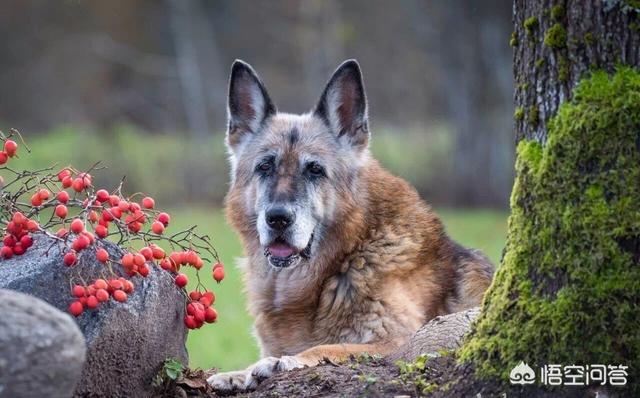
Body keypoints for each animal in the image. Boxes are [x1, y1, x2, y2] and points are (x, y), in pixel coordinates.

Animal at [208, 59, 492, 392]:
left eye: (315, 170)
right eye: (265, 166)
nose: (277, 218)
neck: (345, 257)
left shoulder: (398, 341)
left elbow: (329, 347)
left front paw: (281, 362)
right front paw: (236, 374)